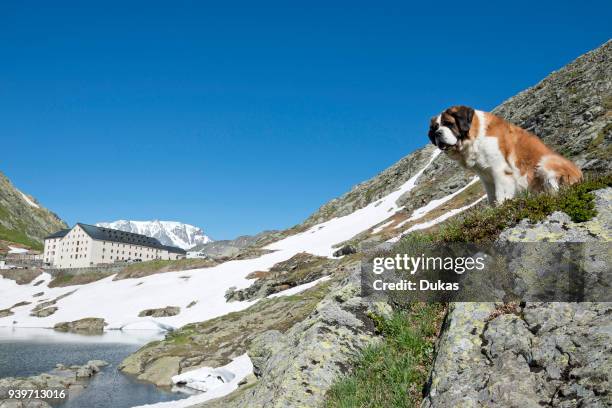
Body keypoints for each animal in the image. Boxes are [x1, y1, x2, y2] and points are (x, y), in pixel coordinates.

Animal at [428, 106, 580, 206]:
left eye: (449, 124)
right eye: (435, 128)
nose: (437, 134)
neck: (476, 136)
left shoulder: (500, 170)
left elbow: (501, 195)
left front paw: (502, 208)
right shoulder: (485, 177)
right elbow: (492, 198)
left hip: (546, 161)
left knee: (556, 188)